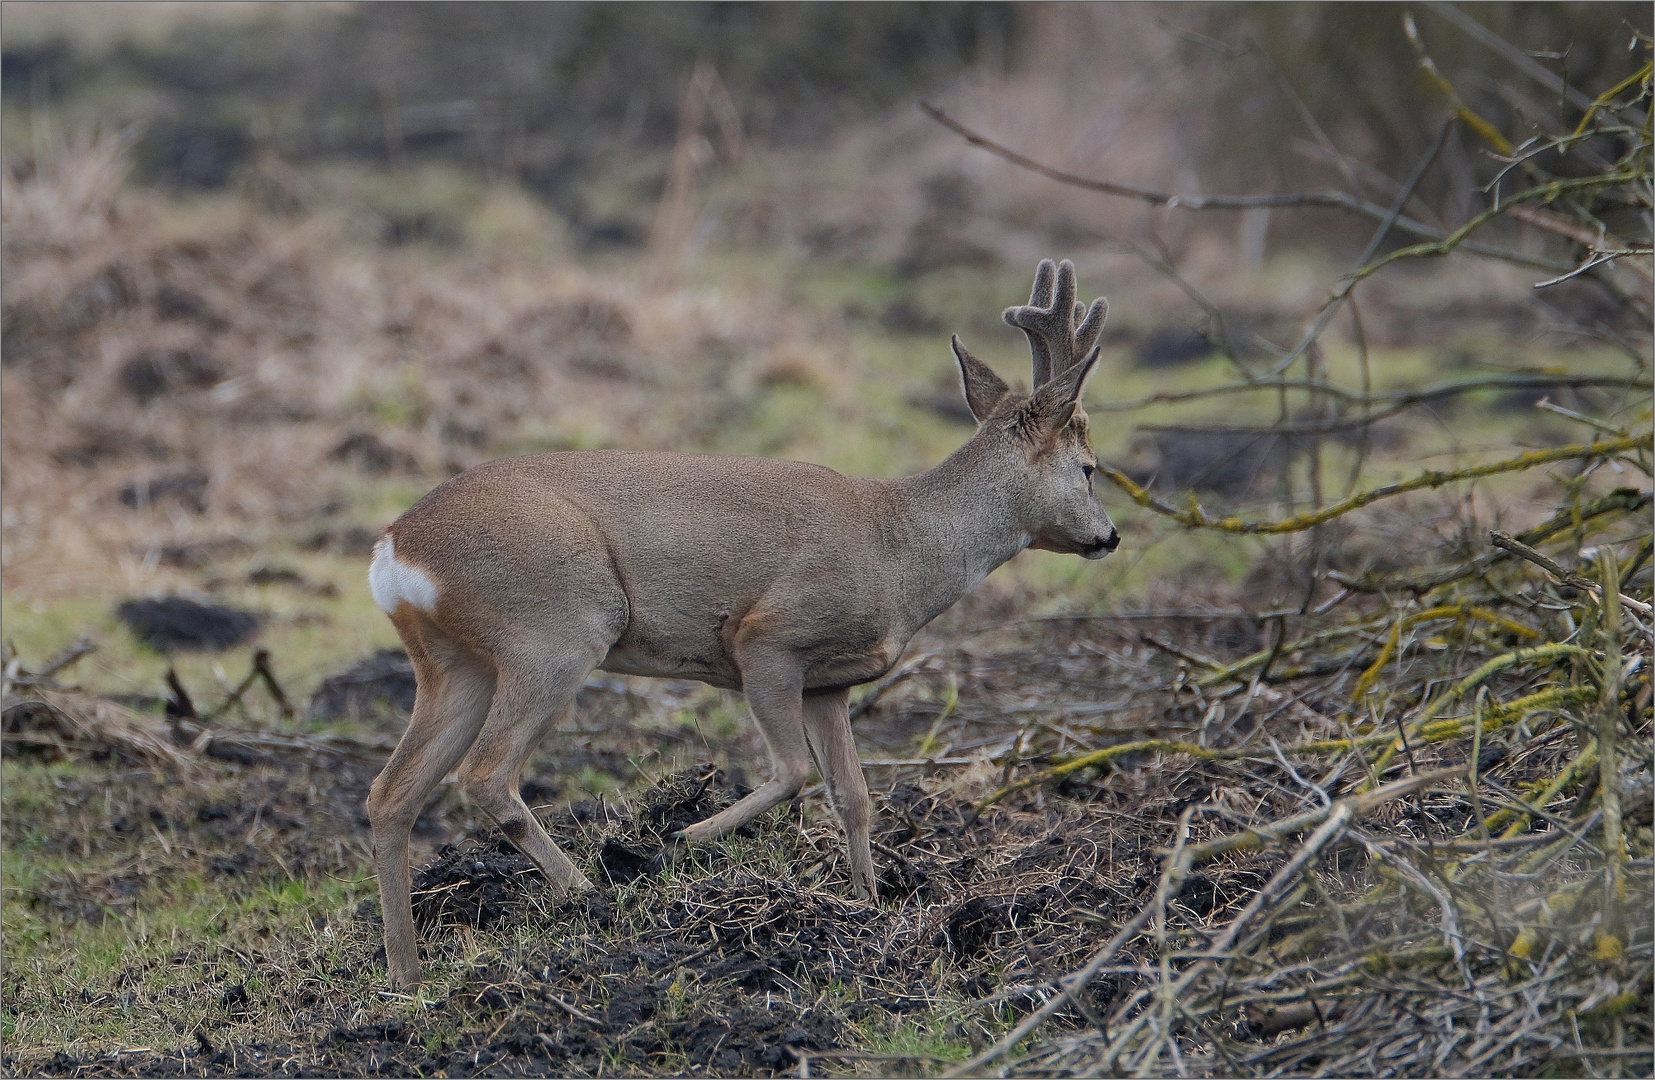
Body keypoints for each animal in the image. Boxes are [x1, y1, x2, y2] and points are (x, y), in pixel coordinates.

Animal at [369, 256, 1118, 979]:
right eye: (1088, 467)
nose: (1108, 537)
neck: (902, 547)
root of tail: (395, 548)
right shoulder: (769, 638)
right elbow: (791, 771)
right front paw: (681, 838)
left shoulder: (829, 682)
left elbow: (853, 794)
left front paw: (867, 905)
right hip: (554, 632)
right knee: (486, 773)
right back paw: (590, 894)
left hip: (456, 664)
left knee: (392, 792)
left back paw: (408, 974)